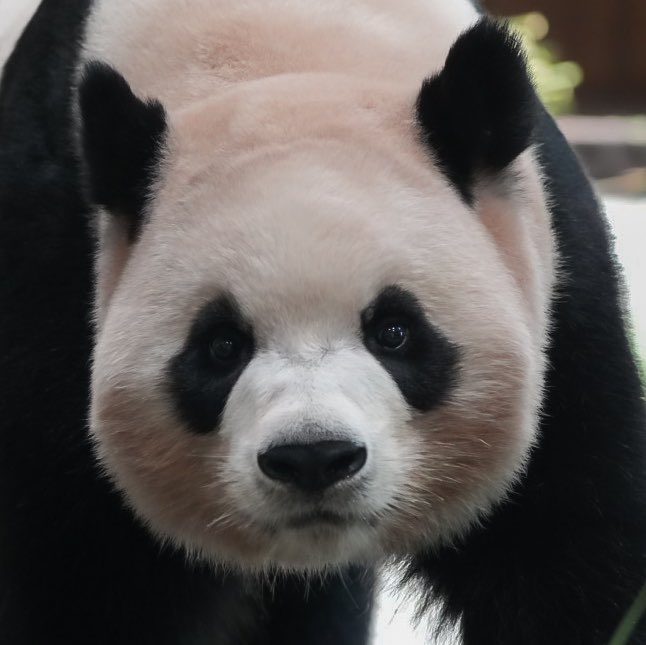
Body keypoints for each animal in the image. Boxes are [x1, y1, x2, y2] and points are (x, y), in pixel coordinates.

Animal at [0, 0, 644, 644]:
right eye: (222, 346)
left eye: (393, 332)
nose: (314, 458)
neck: (280, 53)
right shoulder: (50, 273)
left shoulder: (563, 303)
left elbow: (575, 551)